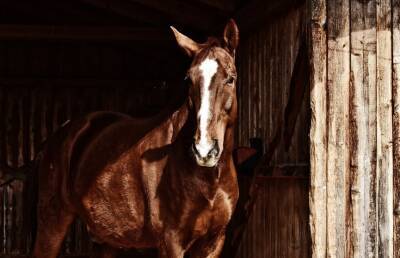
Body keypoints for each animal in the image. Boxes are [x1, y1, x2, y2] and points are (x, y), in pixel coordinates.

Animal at [32, 19, 239, 258]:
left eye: (231, 78)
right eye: (189, 79)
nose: (204, 150)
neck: (208, 179)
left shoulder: (214, 241)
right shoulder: (172, 241)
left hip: (107, 238)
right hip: (53, 221)